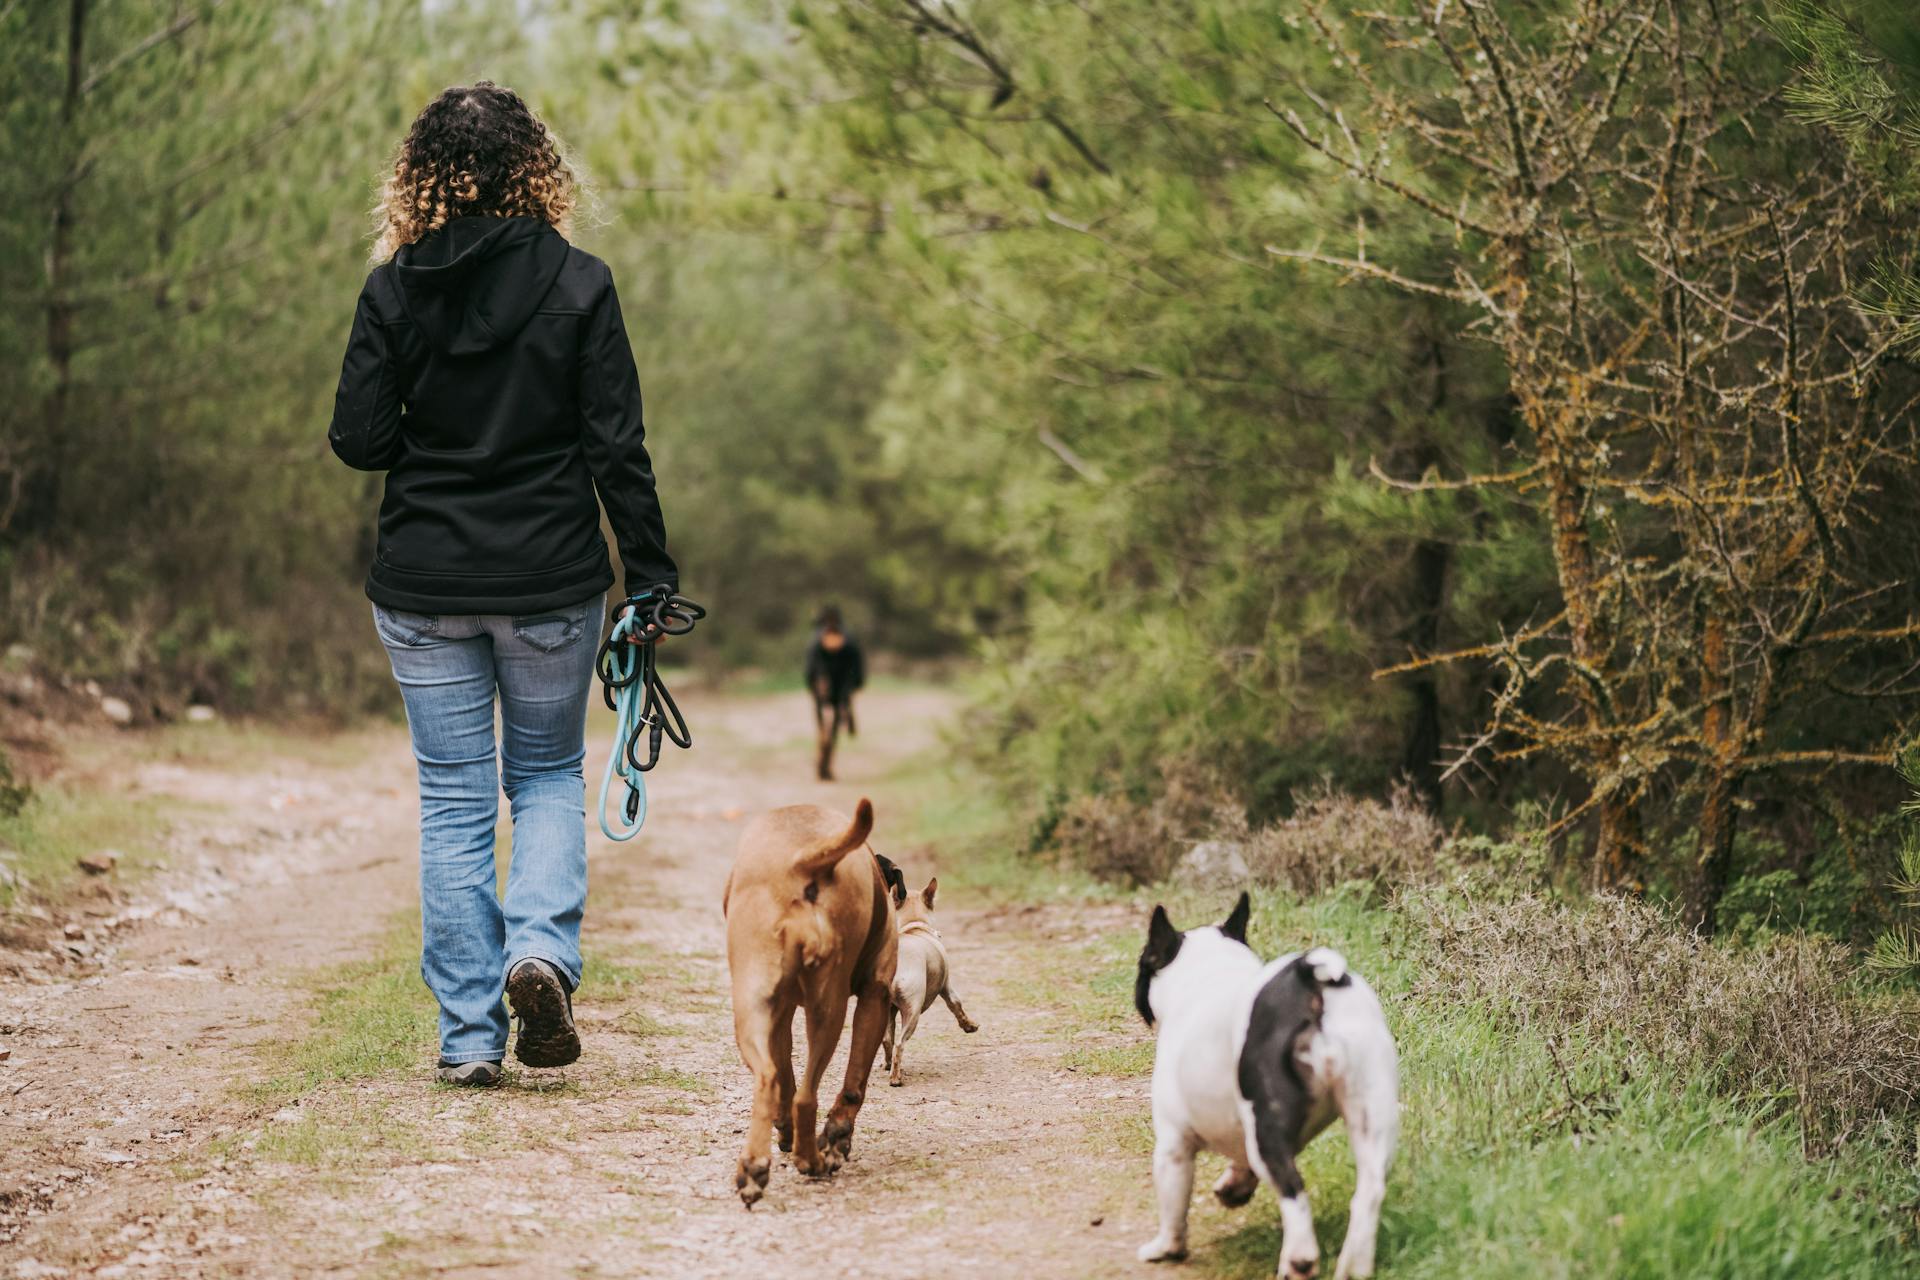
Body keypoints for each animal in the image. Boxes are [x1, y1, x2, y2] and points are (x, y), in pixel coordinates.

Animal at [721, 794, 894, 1205]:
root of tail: (802, 860)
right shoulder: (875, 996)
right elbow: (853, 1085)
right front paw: (837, 1138)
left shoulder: (780, 1012)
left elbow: (784, 1074)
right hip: (829, 1008)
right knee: (806, 1096)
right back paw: (811, 1159)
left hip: (752, 1006)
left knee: (771, 1079)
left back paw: (755, 1166)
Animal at [879, 875, 983, 1090]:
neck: (914, 926)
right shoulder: (947, 988)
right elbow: (957, 1007)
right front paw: (969, 1026)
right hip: (913, 1010)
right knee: (899, 1044)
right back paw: (896, 1078)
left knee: (887, 1040)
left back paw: (888, 1066)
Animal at [1128, 898, 1405, 1274]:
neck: (1209, 972)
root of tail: (1310, 981)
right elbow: (1240, 1160)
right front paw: (1234, 1186)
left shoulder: (1173, 1143)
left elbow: (1174, 1203)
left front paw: (1166, 1248)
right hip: (1370, 1110)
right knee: (1369, 1191)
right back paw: (1353, 1267)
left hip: (1266, 1126)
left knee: (1293, 1190)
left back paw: (1298, 1262)